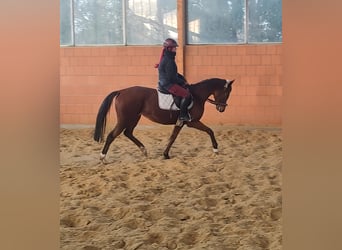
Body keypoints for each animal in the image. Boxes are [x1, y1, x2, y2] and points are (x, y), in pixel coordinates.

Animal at [93, 77, 232, 162]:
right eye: (226, 92)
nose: (221, 108)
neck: (196, 96)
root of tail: (121, 91)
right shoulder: (192, 122)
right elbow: (210, 131)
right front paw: (215, 149)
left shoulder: (181, 122)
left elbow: (172, 137)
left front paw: (165, 154)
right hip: (124, 119)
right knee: (112, 135)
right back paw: (102, 157)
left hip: (134, 117)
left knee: (128, 133)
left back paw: (144, 150)